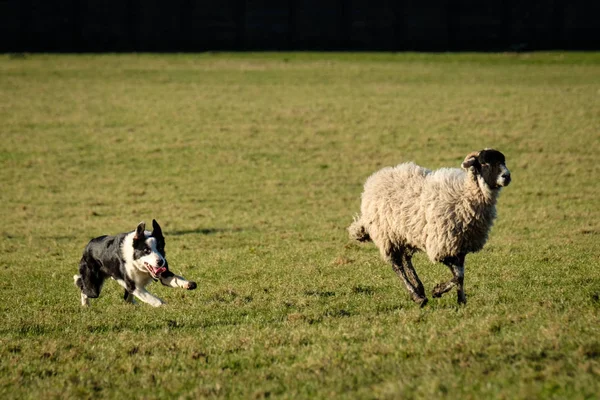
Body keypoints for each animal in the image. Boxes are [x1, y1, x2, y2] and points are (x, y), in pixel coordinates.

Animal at [346, 148, 510, 304]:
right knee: (397, 265)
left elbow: (460, 275)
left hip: (407, 234)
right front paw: (438, 291)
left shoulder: (460, 246)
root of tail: (375, 179)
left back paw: (419, 288)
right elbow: (458, 276)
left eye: (503, 161)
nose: (507, 176)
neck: (466, 194)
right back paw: (416, 296)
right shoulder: (442, 246)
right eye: (484, 163)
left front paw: (461, 299)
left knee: (406, 259)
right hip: (387, 235)